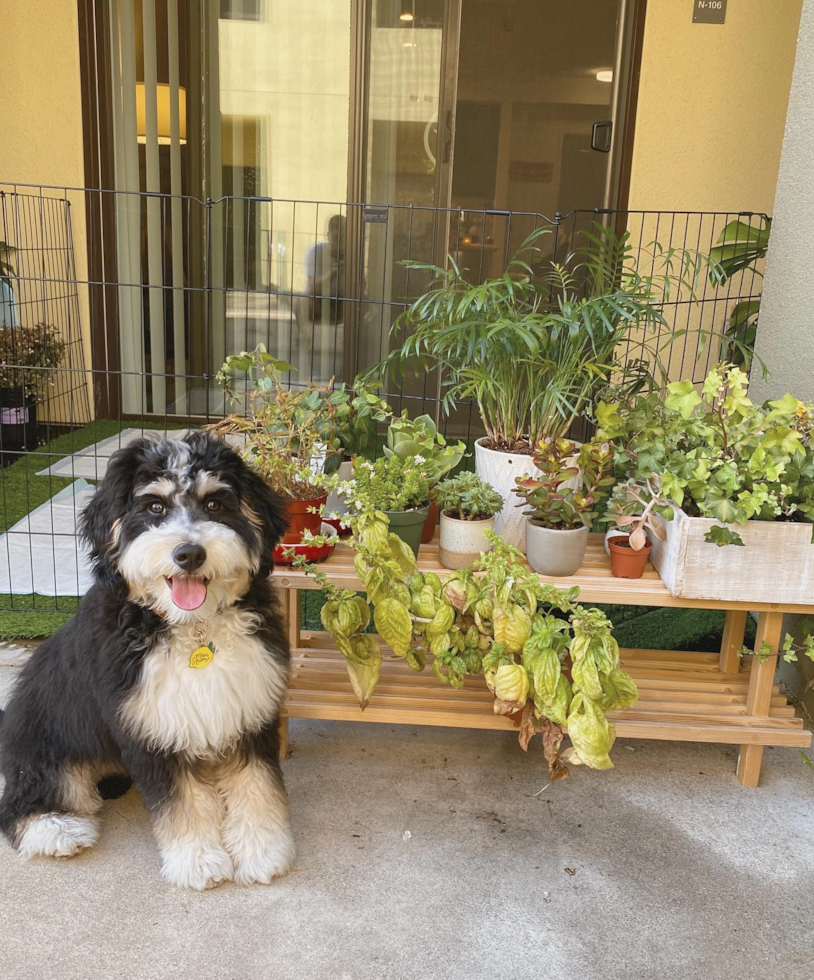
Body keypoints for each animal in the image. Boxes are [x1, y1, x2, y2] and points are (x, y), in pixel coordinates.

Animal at [0, 432, 294, 892]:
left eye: (215, 504)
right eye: (155, 507)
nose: (189, 554)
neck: (192, 629)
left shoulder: (248, 711)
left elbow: (256, 785)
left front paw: (262, 851)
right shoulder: (153, 725)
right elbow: (184, 802)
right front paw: (199, 860)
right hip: (48, 736)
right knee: (24, 798)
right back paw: (55, 829)